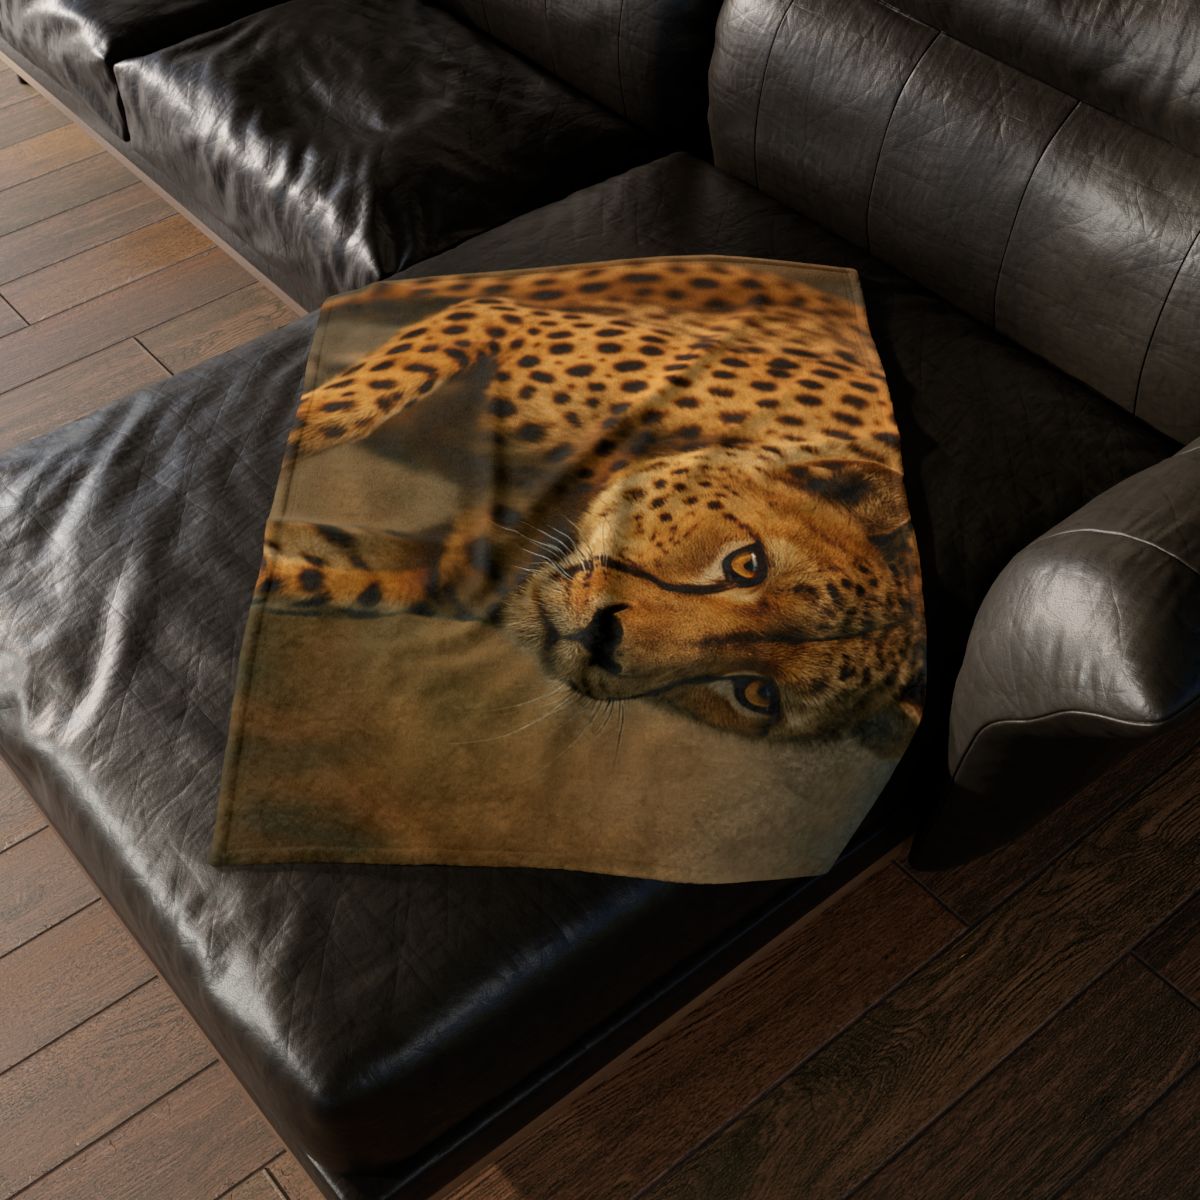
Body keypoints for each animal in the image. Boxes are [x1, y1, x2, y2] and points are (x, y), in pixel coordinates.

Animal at [256, 256, 926, 754]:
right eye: (747, 564)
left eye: (756, 693)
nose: (603, 642)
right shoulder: (494, 319)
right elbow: (346, 407)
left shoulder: (439, 579)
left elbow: (325, 576)